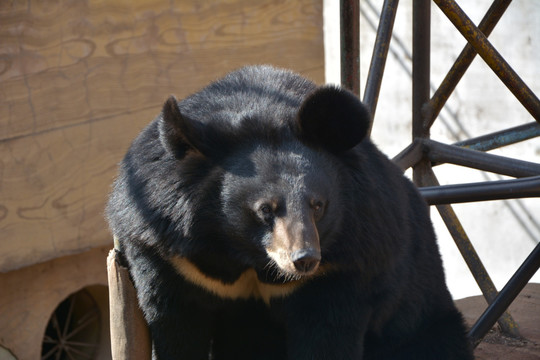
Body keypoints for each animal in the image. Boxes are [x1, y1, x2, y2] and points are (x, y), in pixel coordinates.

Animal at [105, 65, 472, 360]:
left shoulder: (347, 264)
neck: (246, 256)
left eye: (318, 205)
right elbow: (174, 323)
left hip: (420, 318)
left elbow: (327, 335)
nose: (305, 259)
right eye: (264, 209)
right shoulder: (170, 255)